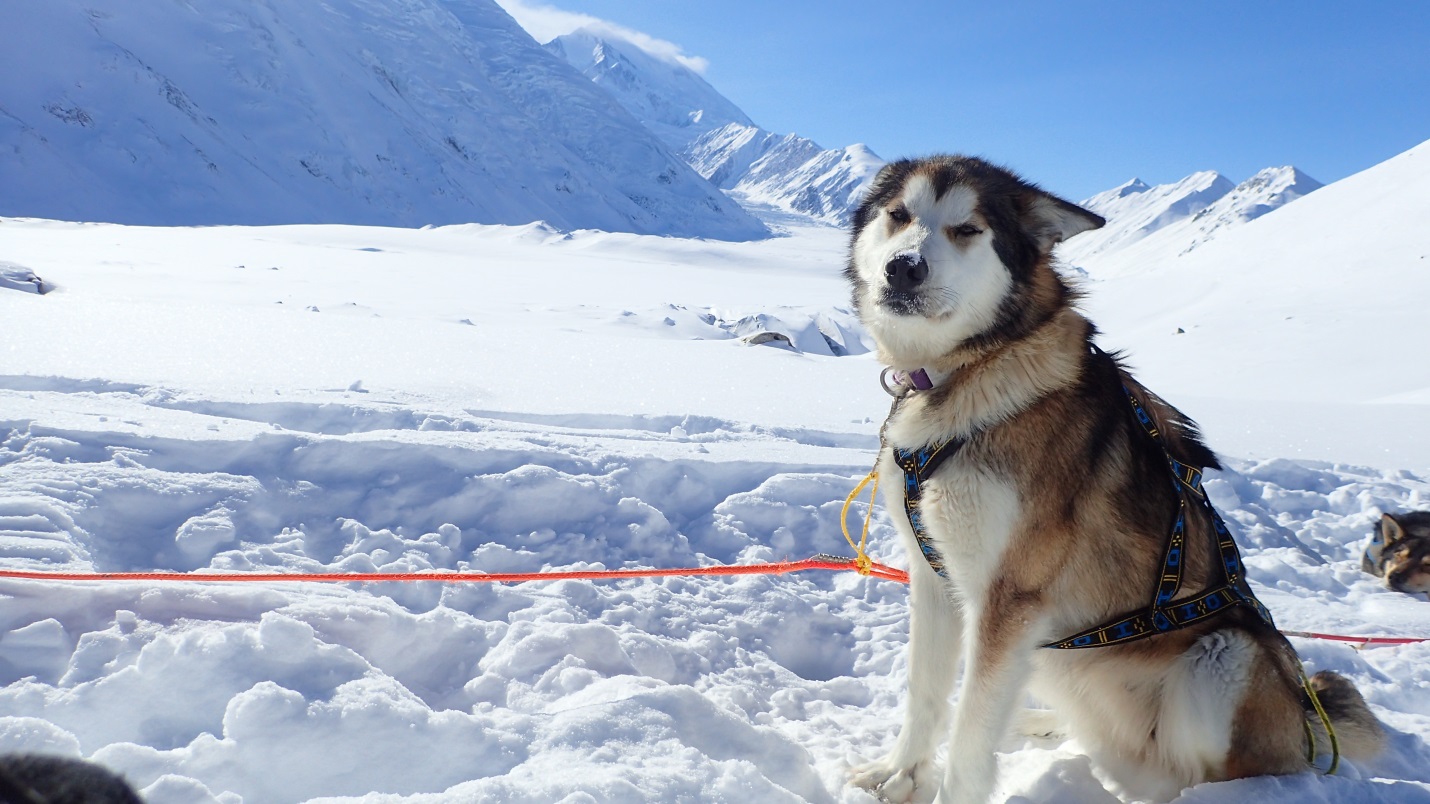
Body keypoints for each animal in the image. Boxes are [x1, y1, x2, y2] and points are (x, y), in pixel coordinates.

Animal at [840, 156, 1378, 801]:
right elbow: (925, 695)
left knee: (1213, 771)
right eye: (898, 216)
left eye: (967, 229)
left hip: (1226, 658)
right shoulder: (934, 577)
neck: (973, 367)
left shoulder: (1008, 597)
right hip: (1061, 666)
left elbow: (970, 733)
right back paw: (1041, 723)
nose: (904, 267)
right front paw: (897, 774)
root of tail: (1304, 721)